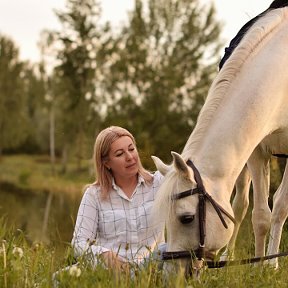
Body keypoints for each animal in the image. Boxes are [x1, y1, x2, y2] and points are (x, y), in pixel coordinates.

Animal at [152, 7, 288, 274]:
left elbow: (279, 208)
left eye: (187, 218)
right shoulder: (255, 151)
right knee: (240, 205)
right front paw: (257, 267)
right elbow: (260, 216)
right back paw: (229, 256)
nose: (171, 273)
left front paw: (268, 266)